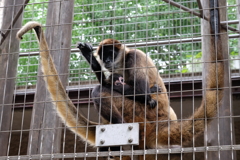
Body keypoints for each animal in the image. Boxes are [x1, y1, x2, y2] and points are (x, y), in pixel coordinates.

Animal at [17, 19, 225, 160]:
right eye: (104, 55)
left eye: (111, 52)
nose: (107, 60)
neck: (123, 59)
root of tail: (161, 126)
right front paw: (91, 59)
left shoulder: (134, 57)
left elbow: (141, 91)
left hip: (141, 117)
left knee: (100, 91)